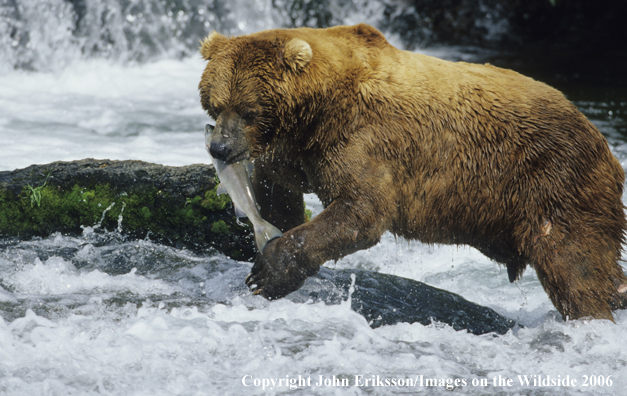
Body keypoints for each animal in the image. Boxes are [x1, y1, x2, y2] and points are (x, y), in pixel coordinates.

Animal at [200, 23, 627, 320]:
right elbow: (278, 189)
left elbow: (362, 211)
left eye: (248, 110)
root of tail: (603, 143)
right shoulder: (295, 151)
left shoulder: (364, 139)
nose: (219, 148)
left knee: (575, 266)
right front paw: (272, 237)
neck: (315, 113)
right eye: (215, 104)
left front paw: (267, 272)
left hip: (555, 181)